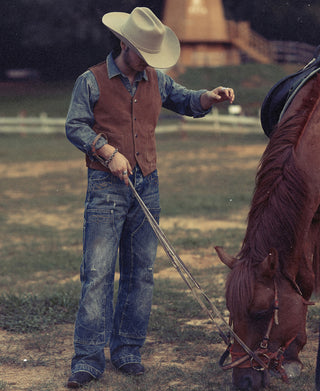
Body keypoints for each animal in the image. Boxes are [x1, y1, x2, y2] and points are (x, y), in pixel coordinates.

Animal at [216, 72, 320, 390]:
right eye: (230, 309)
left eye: (263, 313)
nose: (243, 381)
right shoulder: (308, 218)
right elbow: (304, 280)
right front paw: (293, 356)